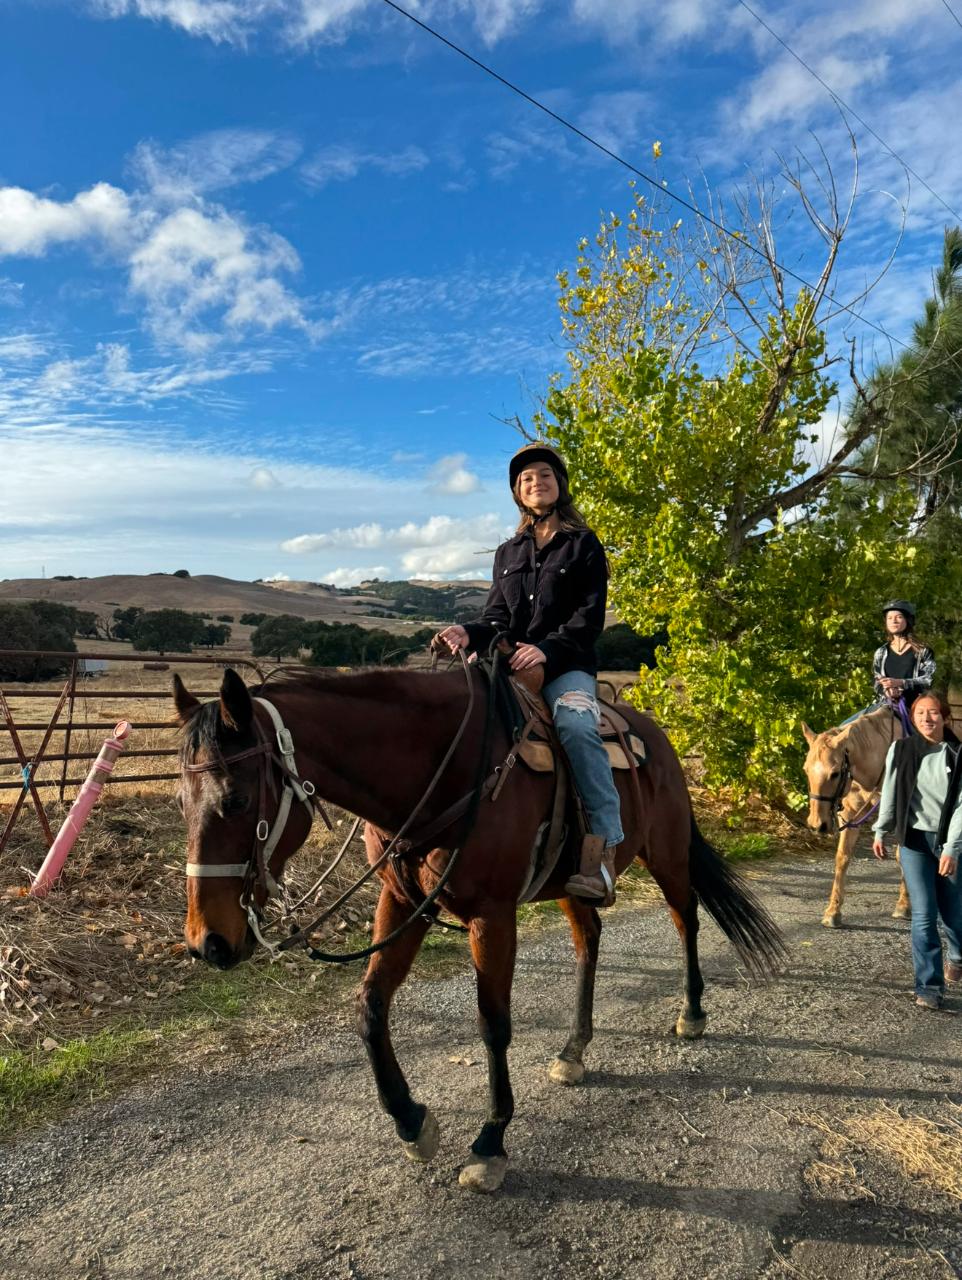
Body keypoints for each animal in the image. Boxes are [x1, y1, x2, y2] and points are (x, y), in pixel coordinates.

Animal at [176, 665, 782, 1192]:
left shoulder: (493, 915)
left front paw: (490, 1142)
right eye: (182, 800)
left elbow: (493, 1023)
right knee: (589, 938)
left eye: (235, 799)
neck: (442, 773)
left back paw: (692, 1012)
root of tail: (657, 737)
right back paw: (574, 1048)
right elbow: (370, 1006)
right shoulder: (402, 904)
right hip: (572, 885)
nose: (208, 942)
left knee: (686, 919)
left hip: (669, 854)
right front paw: (412, 1123)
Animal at [803, 701, 910, 931]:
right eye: (806, 769)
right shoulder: (850, 814)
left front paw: (904, 905)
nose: (817, 824)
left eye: (835, 773)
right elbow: (842, 857)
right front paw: (833, 911)